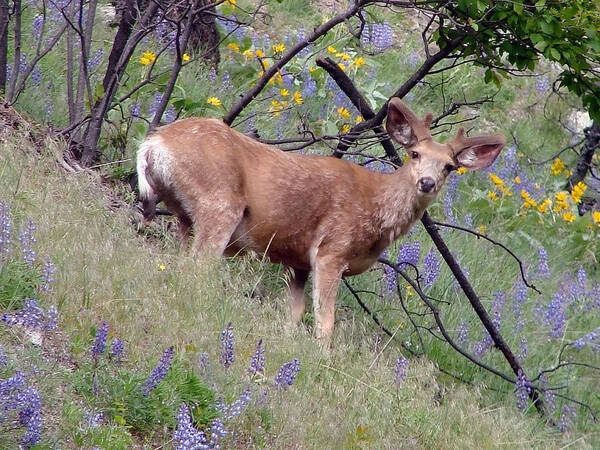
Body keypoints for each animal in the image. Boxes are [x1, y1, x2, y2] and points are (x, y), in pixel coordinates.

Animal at [138, 97, 504, 344]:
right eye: (414, 154)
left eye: (449, 167)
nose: (426, 182)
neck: (376, 209)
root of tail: (152, 143)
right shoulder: (332, 250)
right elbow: (325, 322)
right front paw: (323, 357)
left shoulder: (297, 261)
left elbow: (294, 313)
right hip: (220, 203)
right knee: (197, 268)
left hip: (184, 214)